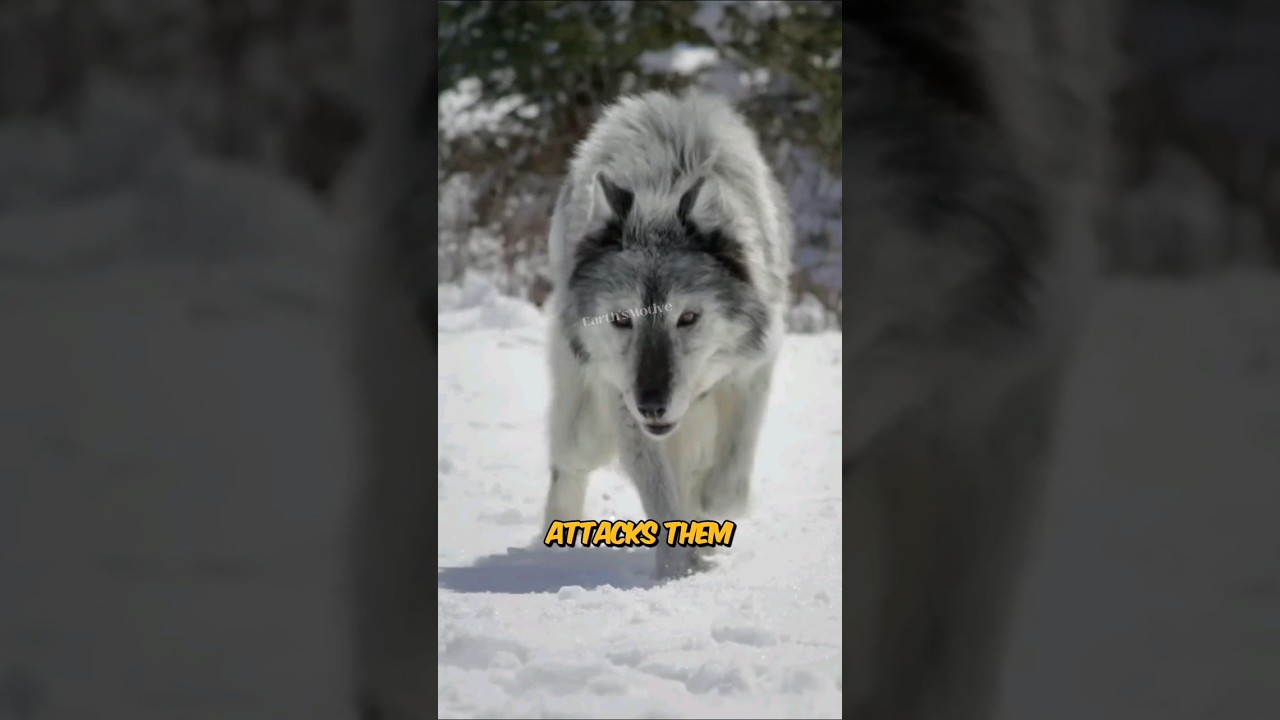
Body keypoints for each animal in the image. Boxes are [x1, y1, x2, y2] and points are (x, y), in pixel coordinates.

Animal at [542, 90, 793, 580]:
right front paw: (678, 572)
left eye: (688, 317)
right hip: (586, 423)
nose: (653, 404)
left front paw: (705, 532)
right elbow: (663, 499)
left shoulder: (750, 374)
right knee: (566, 465)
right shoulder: (624, 401)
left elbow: (725, 490)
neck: (660, 189)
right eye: (623, 319)